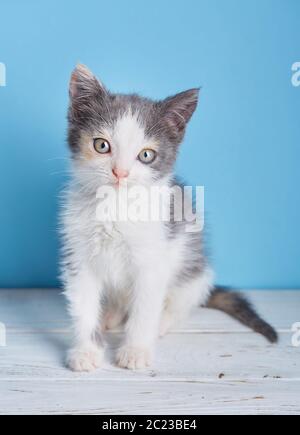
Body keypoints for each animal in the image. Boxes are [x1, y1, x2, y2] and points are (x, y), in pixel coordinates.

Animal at [60, 63, 276, 372]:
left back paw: (161, 322)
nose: (120, 173)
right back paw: (110, 315)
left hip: (195, 272)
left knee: (183, 301)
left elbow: (144, 308)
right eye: (101, 145)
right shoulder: (78, 257)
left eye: (146, 155)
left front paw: (136, 350)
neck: (115, 206)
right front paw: (85, 352)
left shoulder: (153, 258)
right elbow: (83, 306)